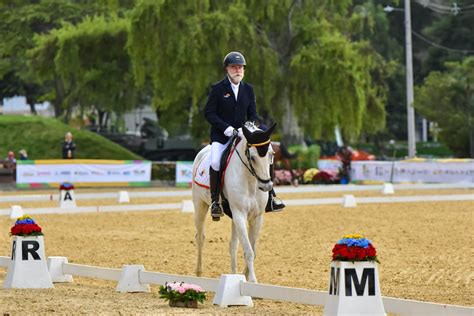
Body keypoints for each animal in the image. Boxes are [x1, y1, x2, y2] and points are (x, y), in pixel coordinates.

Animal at [191, 122, 276, 282]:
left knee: (233, 245)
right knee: (200, 238)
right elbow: (248, 251)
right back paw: (198, 273)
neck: (250, 181)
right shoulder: (239, 214)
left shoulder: (257, 217)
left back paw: (233, 274)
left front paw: (245, 277)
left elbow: (252, 250)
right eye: (252, 158)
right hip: (200, 205)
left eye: (271, 154)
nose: (266, 186)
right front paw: (253, 281)